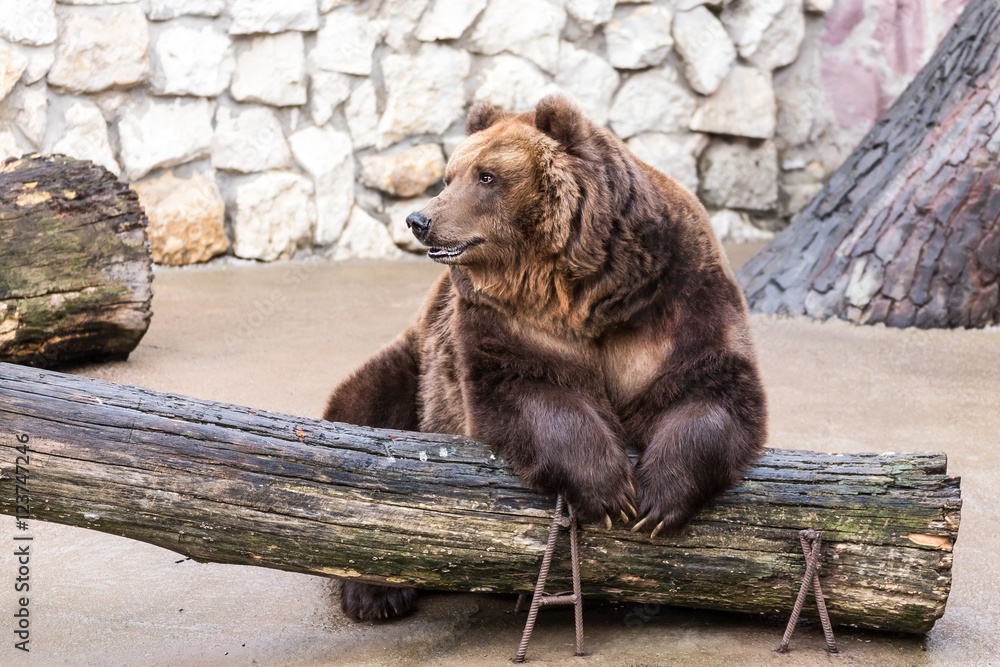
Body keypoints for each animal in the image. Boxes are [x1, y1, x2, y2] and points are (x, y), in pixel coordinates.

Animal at [323, 95, 767, 622]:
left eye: (487, 176)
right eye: (449, 175)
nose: (419, 220)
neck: (583, 292)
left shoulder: (676, 297)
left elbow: (712, 388)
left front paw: (658, 499)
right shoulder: (510, 320)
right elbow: (528, 391)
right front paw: (610, 491)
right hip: (414, 367)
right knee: (365, 418)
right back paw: (378, 594)